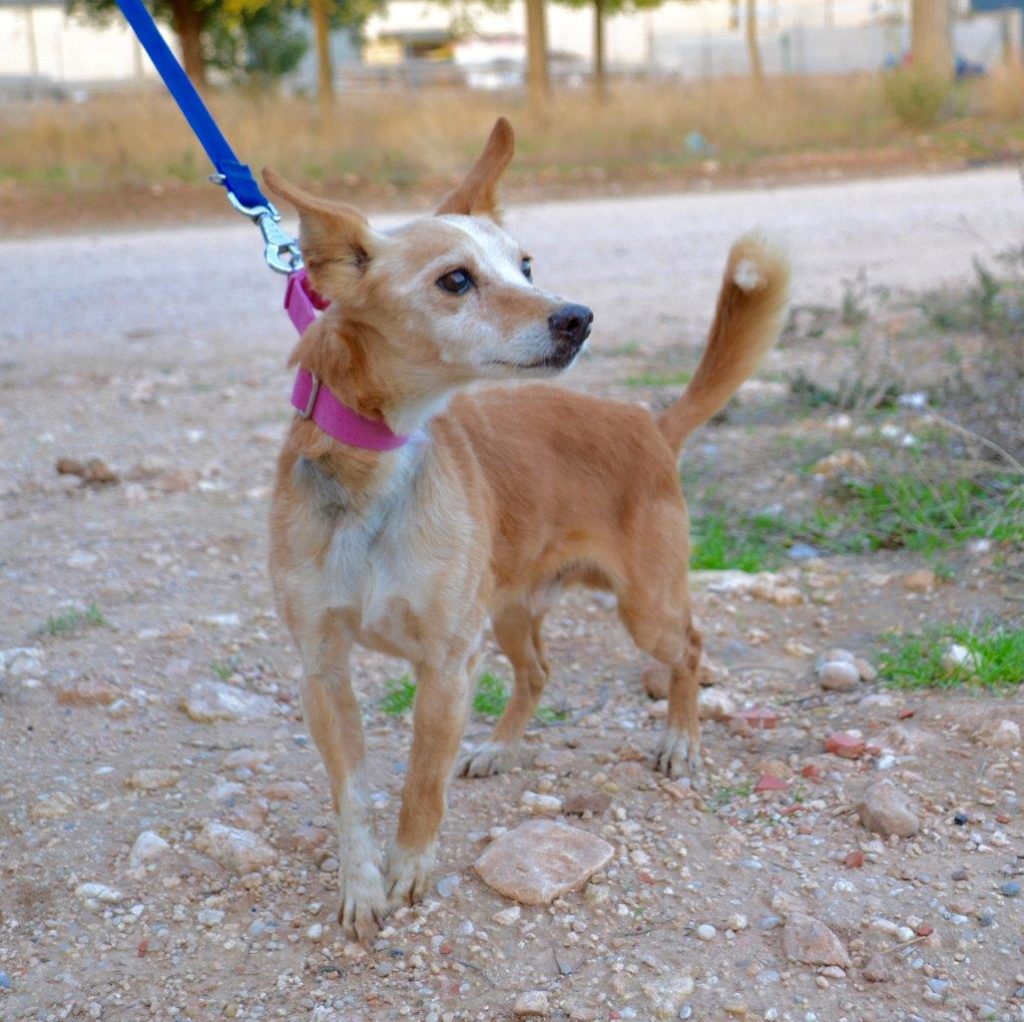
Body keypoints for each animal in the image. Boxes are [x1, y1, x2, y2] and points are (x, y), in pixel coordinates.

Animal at [264, 119, 790, 942]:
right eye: (455, 280)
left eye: (526, 264)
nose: (578, 316)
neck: (378, 475)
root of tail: (648, 422)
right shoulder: (323, 669)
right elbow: (351, 795)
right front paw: (361, 886)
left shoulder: (447, 666)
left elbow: (420, 783)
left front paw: (411, 867)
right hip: (510, 609)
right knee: (538, 671)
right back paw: (501, 749)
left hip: (643, 605)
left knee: (689, 647)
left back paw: (680, 740)